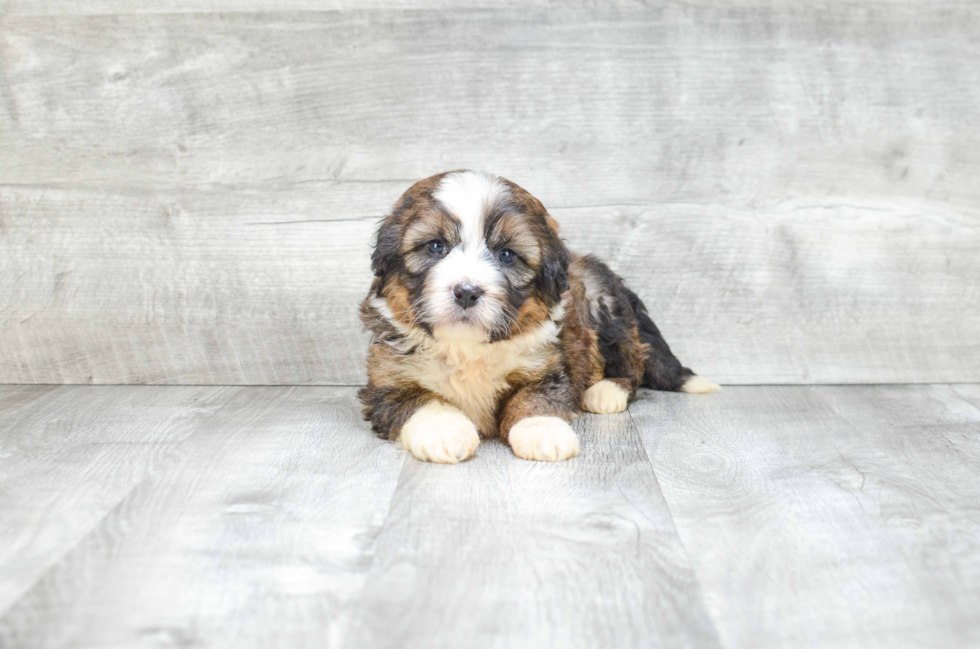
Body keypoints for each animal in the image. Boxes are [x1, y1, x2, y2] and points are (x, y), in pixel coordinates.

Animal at [360, 170, 720, 464]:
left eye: (506, 255)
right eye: (436, 246)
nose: (466, 292)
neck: (467, 348)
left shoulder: (547, 369)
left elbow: (535, 398)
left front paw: (543, 431)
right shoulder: (387, 383)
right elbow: (421, 401)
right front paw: (445, 432)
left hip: (604, 306)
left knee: (632, 364)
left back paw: (606, 392)